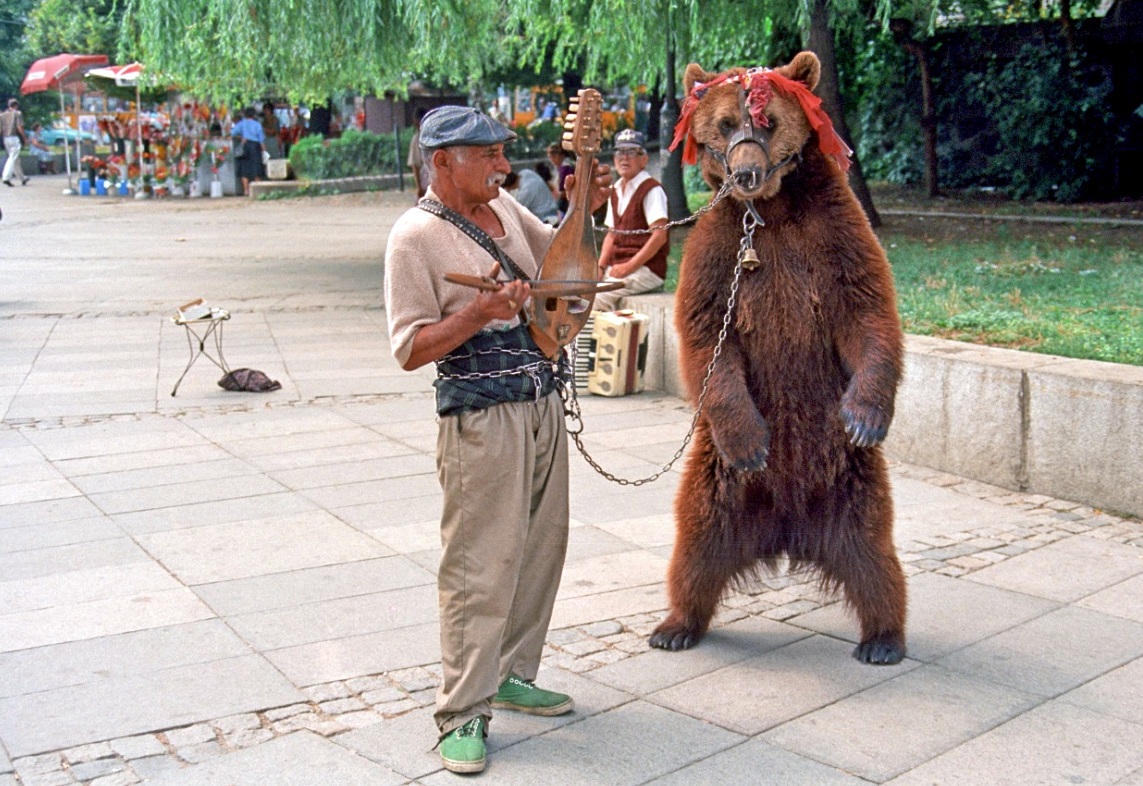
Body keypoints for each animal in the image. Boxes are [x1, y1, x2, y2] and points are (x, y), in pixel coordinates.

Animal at [648, 51, 908, 665]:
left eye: (768, 122)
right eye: (724, 125)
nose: (745, 173)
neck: (770, 212)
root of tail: (788, 531)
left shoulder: (833, 237)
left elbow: (867, 312)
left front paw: (865, 415)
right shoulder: (718, 254)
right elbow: (707, 338)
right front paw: (751, 440)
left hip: (851, 479)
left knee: (874, 553)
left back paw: (882, 638)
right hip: (715, 478)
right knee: (694, 543)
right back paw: (675, 626)